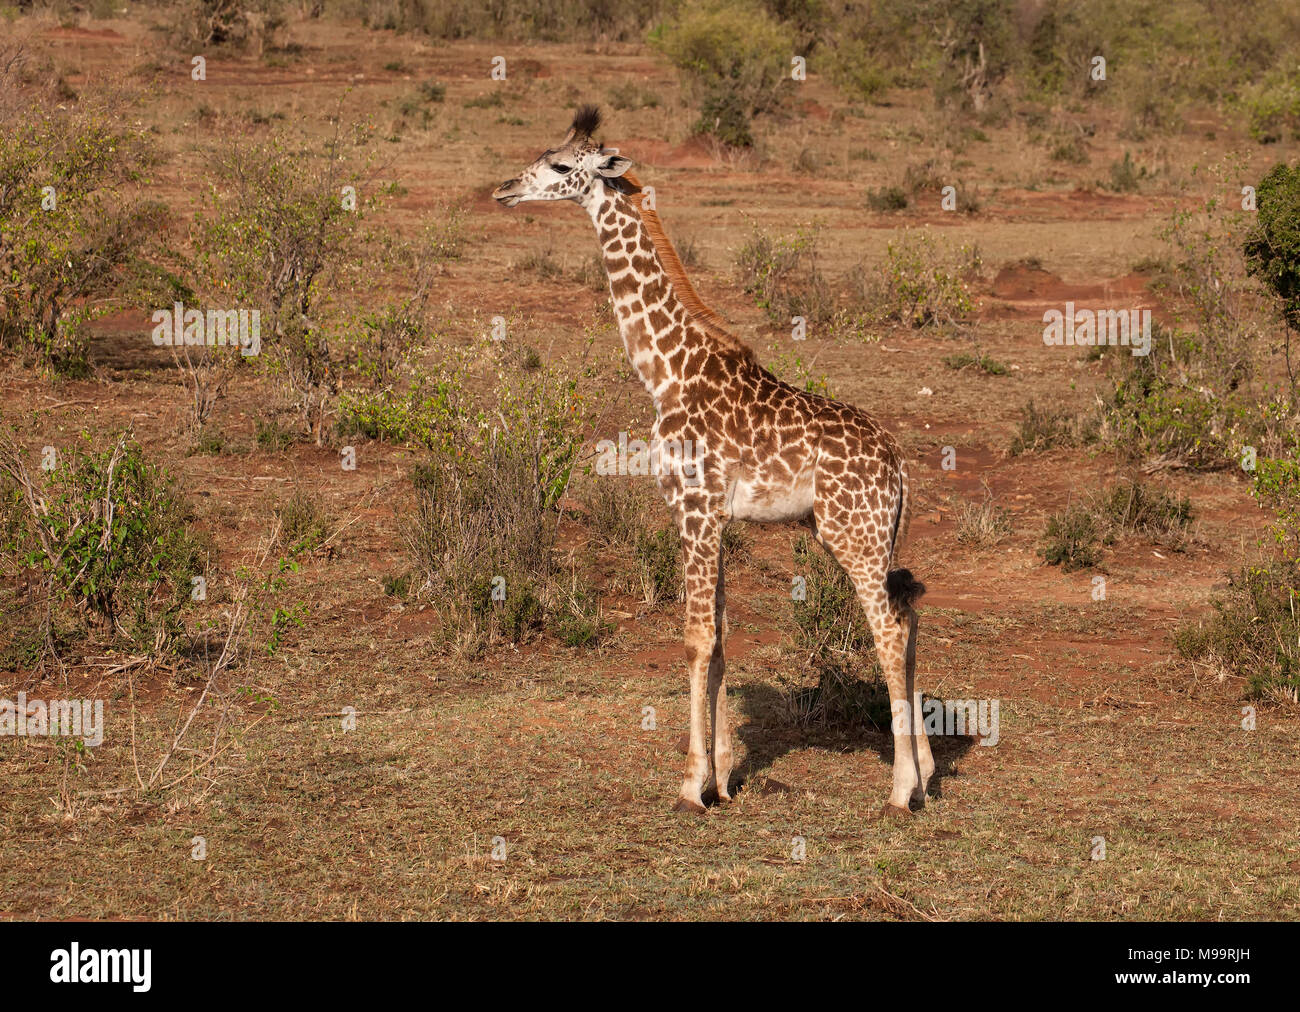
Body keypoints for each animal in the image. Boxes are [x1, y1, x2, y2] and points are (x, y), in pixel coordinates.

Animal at [492, 106, 933, 816]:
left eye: (559, 165)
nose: (505, 189)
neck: (665, 371)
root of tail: (898, 461)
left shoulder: (693, 509)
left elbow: (697, 638)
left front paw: (689, 787)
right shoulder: (714, 519)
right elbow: (721, 638)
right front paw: (722, 779)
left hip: (853, 534)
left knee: (889, 627)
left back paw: (900, 791)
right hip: (858, 533)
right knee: (910, 612)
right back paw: (927, 775)